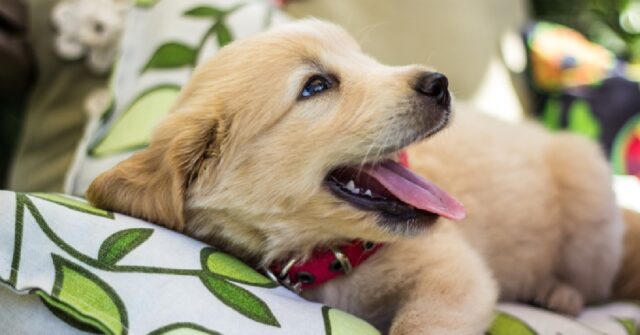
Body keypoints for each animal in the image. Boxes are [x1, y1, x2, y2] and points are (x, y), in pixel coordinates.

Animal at [87, 19, 632, 334]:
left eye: (365, 59)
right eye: (315, 86)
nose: (440, 83)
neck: (333, 257)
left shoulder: (454, 273)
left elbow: (421, 325)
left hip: (589, 206)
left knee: (598, 281)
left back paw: (559, 293)